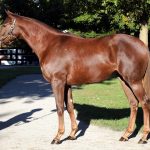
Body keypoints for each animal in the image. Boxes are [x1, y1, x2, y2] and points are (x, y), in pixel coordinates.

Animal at [0, 10, 150, 144]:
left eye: (4, 24)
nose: (0, 42)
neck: (50, 45)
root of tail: (142, 45)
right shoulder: (67, 84)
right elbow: (70, 107)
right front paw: (72, 134)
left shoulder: (57, 82)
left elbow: (60, 107)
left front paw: (58, 137)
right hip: (124, 80)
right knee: (133, 103)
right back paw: (126, 135)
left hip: (134, 81)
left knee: (144, 102)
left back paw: (143, 137)